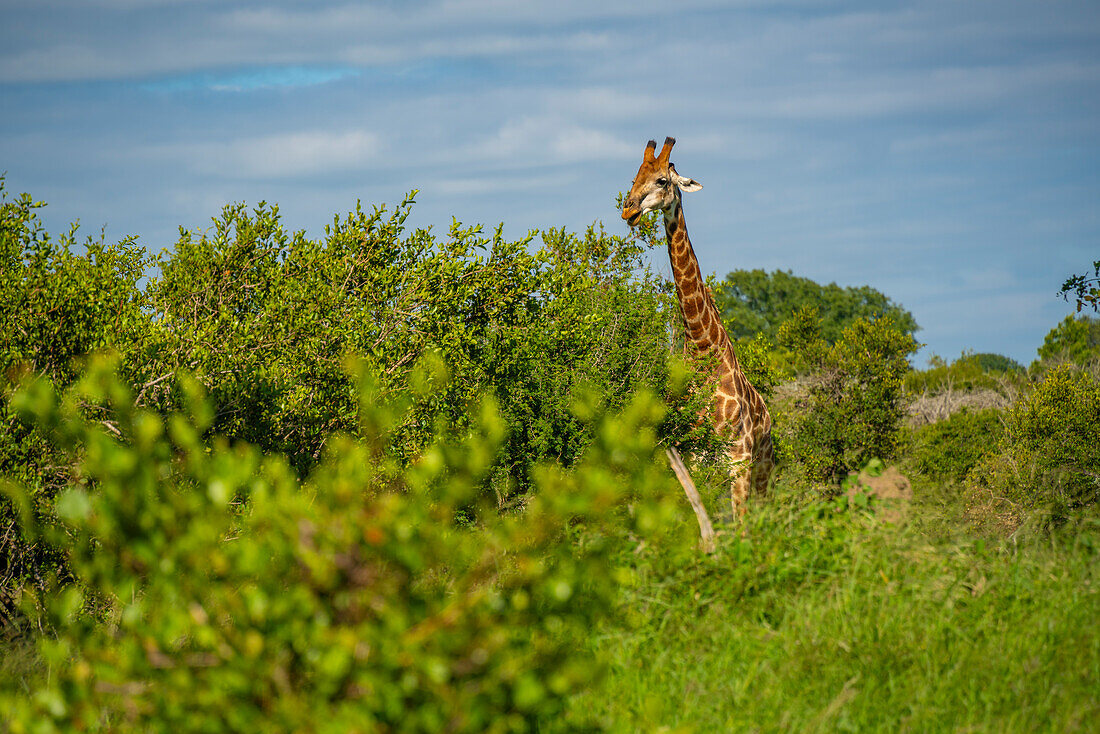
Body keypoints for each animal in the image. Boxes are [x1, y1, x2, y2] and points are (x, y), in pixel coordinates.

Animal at [620, 137, 774, 517]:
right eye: (635, 176)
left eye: (662, 180)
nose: (628, 211)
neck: (703, 348)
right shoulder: (693, 458)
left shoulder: (739, 461)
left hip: (763, 469)